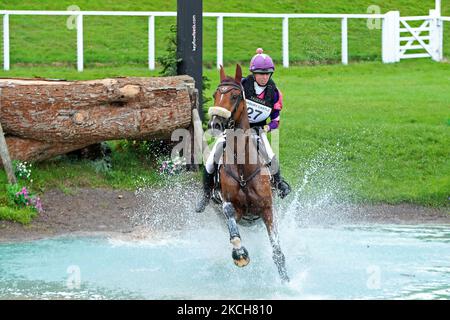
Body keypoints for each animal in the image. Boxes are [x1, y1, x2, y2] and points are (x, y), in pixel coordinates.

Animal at [207, 63, 290, 282]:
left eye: (235, 96)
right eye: (215, 95)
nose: (215, 124)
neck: (243, 168)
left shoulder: (267, 209)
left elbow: (277, 252)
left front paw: (286, 281)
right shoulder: (231, 207)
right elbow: (229, 214)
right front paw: (239, 253)